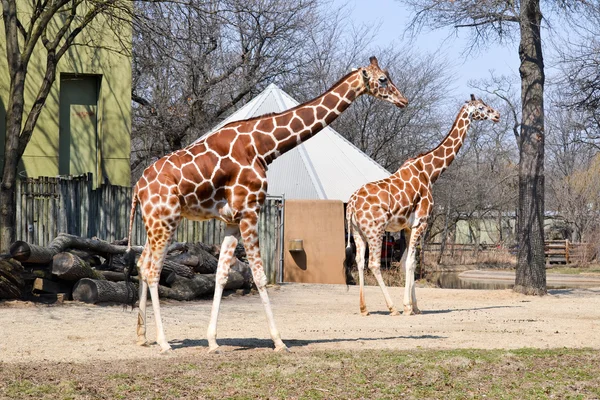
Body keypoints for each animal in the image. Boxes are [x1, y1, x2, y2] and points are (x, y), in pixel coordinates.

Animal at [125, 56, 408, 354]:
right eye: (382, 80)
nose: (403, 100)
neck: (264, 146)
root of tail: (138, 188)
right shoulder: (251, 212)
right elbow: (259, 276)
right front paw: (279, 340)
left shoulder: (232, 220)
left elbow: (222, 275)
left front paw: (213, 341)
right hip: (165, 220)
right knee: (152, 270)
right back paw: (164, 342)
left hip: (155, 223)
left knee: (143, 263)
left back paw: (142, 336)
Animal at [344, 95, 500, 318]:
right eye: (481, 107)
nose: (497, 115)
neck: (430, 172)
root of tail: (351, 205)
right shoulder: (422, 222)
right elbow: (410, 262)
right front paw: (408, 307)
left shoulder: (408, 227)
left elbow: (407, 263)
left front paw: (415, 306)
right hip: (375, 230)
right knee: (373, 263)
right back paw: (392, 308)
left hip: (358, 232)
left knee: (359, 261)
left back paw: (364, 308)